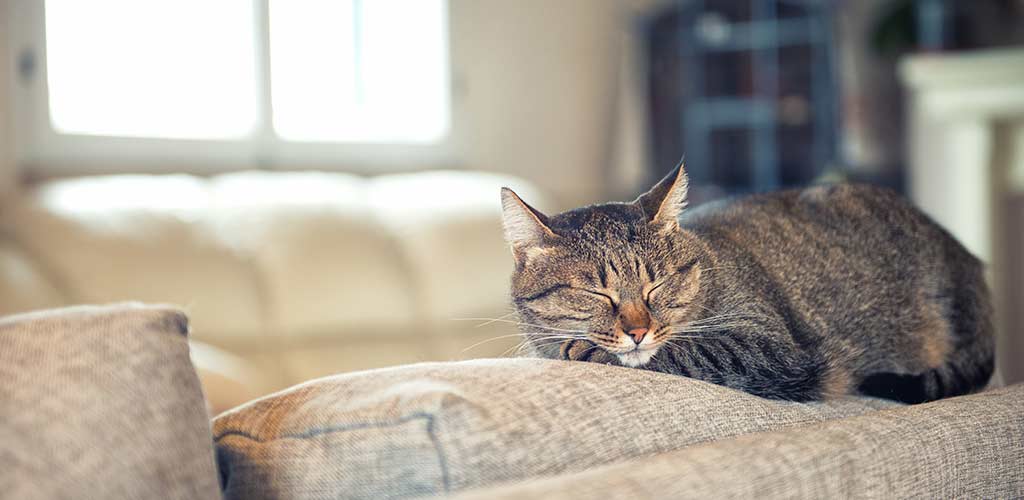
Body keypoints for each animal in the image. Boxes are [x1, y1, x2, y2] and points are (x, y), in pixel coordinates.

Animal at [499, 161, 995, 403]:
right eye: (595, 292)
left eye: (657, 285)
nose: (638, 330)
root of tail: (969, 259)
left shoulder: (773, 347)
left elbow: (690, 351)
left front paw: (588, 351)